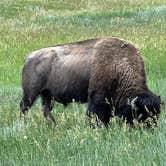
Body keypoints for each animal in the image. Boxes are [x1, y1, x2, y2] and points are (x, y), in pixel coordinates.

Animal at [19, 37, 161, 126]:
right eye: (139, 113)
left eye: (157, 114)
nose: (150, 129)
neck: (118, 64)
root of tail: (28, 57)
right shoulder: (97, 97)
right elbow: (95, 114)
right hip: (31, 93)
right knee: (24, 107)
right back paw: (24, 126)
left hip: (47, 94)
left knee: (46, 110)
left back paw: (54, 126)